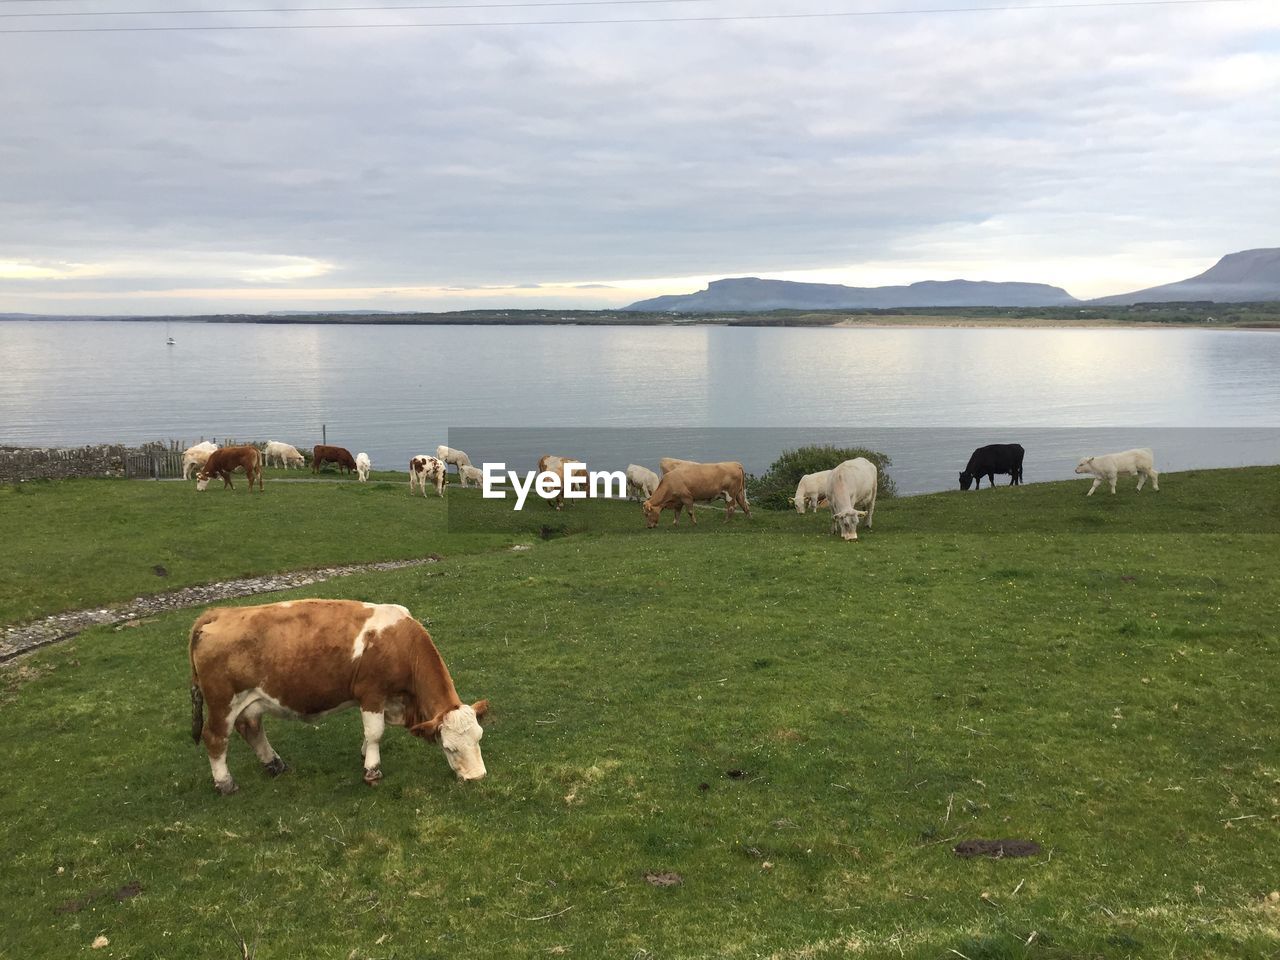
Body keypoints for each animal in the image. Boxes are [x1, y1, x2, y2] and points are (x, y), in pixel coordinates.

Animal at [186, 601, 486, 798]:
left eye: (479, 738)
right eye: (448, 748)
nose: (477, 778)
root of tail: (219, 613)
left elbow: (371, 733)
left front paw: (365, 753)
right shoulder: (371, 693)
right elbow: (376, 732)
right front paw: (372, 770)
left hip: (250, 700)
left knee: (251, 729)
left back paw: (275, 765)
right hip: (222, 701)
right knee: (215, 738)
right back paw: (226, 783)